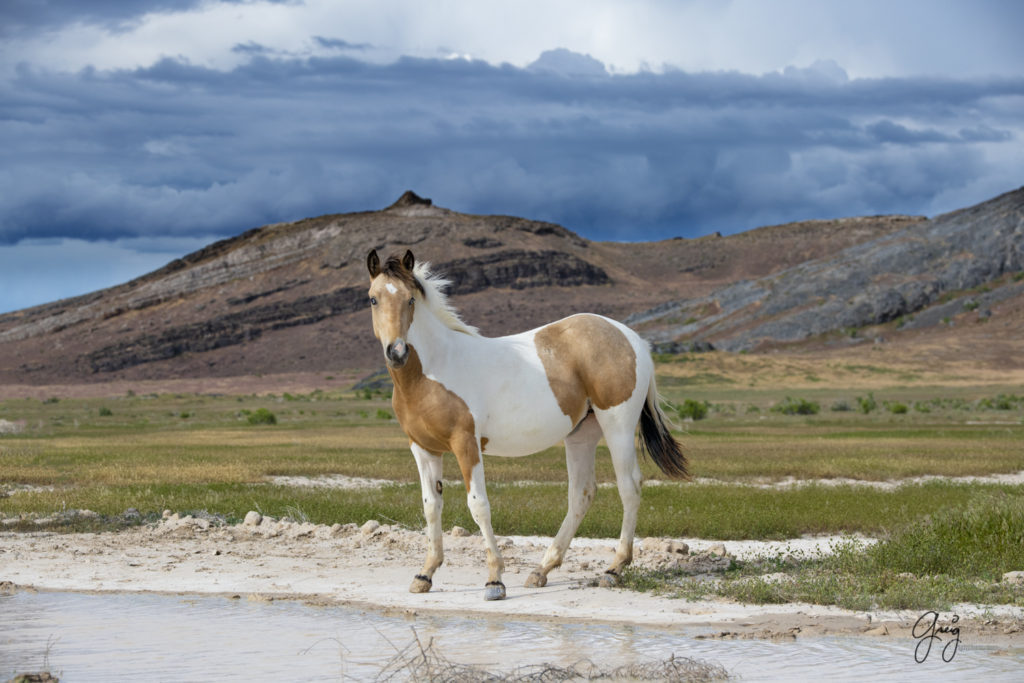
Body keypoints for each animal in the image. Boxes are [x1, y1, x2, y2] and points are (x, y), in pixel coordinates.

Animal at [368, 248, 688, 602]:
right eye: (373, 299)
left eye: (410, 299)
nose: (397, 352)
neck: (433, 370)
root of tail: (632, 338)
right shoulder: (424, 449)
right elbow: (431, 507)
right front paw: (425, 574)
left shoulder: (466, 444)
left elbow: (478, 505)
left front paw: (494, 581)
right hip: (581, 435)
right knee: (582, 494)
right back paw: (542, 570)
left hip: (617, 426)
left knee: (629, 487)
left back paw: (613, 569)